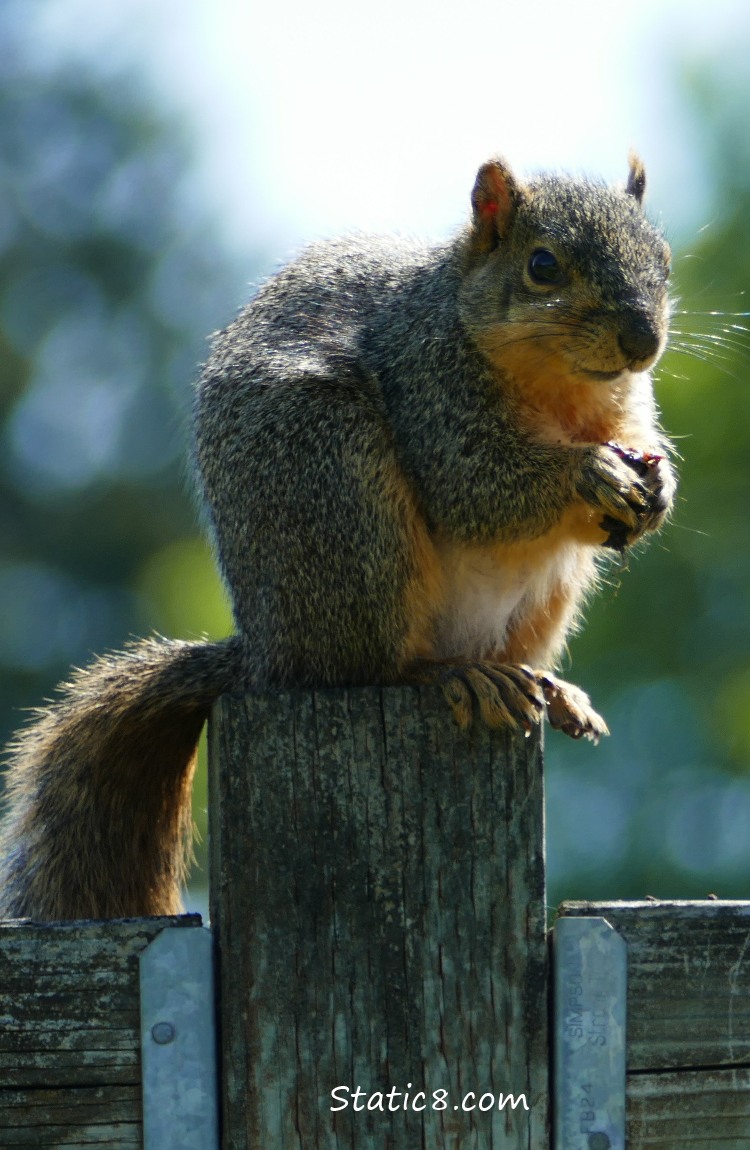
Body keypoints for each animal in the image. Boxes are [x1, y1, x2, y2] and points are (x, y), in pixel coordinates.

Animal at [0, 157, 671, 920]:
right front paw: (586, 473)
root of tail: (267, 652)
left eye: (664, 262)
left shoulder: (626, 412)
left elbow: (638, 447)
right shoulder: (429, 388)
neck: (565, 393)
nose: (643, 342)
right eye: (542, 266)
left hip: (543, 599)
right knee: (372, 665)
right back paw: (452, 674)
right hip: (345, 502)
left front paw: (659, 491)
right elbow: (475, 487)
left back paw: (549, 688)